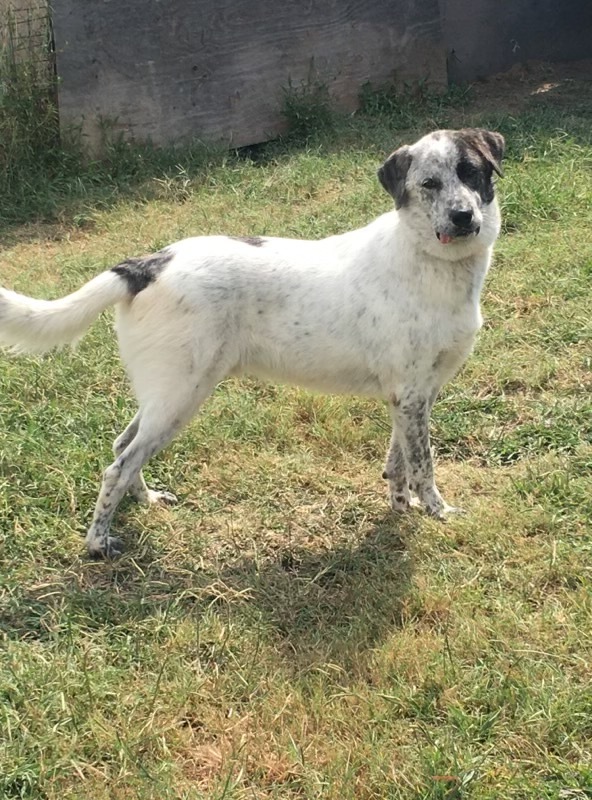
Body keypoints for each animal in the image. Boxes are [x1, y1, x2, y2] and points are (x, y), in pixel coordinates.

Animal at [0, 128, 504, 560]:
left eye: (472, 172)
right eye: (429, 184)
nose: (464, 217)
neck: (426, 259)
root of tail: (148, 265)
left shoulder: (409, 397)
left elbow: (398, 462)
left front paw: (402, 509)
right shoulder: (413, 396)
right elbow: (424, 466)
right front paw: (438, 513)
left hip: (165, 395)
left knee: (122, 445)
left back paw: (146, 500)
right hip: (182, 395)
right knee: (118, 466)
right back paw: (97, 543)